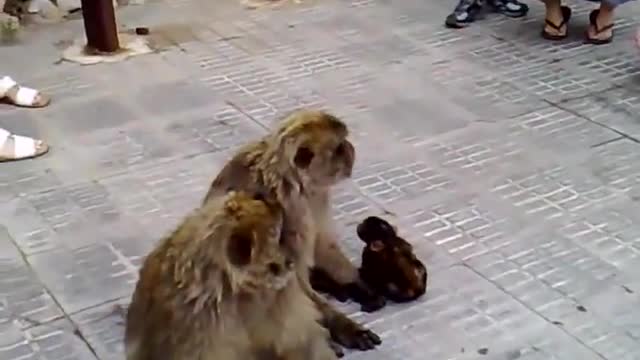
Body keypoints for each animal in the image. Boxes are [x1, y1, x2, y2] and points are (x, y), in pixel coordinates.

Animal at [204, 108, 384, 352]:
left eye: (343, 143)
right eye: (338, 147)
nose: (350, 148)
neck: (294, 184)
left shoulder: (316, 198)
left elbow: (321, 243)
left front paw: (356, 284)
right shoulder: (292, 213)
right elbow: (291, 279)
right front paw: (341, 324)